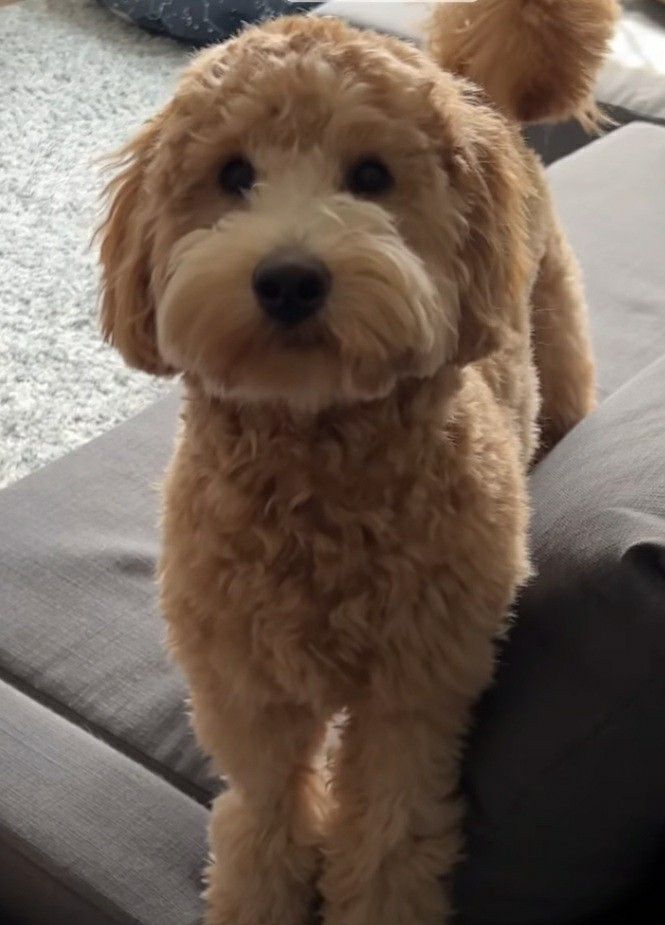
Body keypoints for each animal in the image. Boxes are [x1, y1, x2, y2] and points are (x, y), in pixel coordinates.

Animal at [97, 3, 616, 920]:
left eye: (371, 175)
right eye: (233, 174)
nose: (289, 279)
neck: (318, 462)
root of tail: (481, 91)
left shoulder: (416, 688)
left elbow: (386, 833)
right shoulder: (245, 689)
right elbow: (264, 814)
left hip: (557, 334)